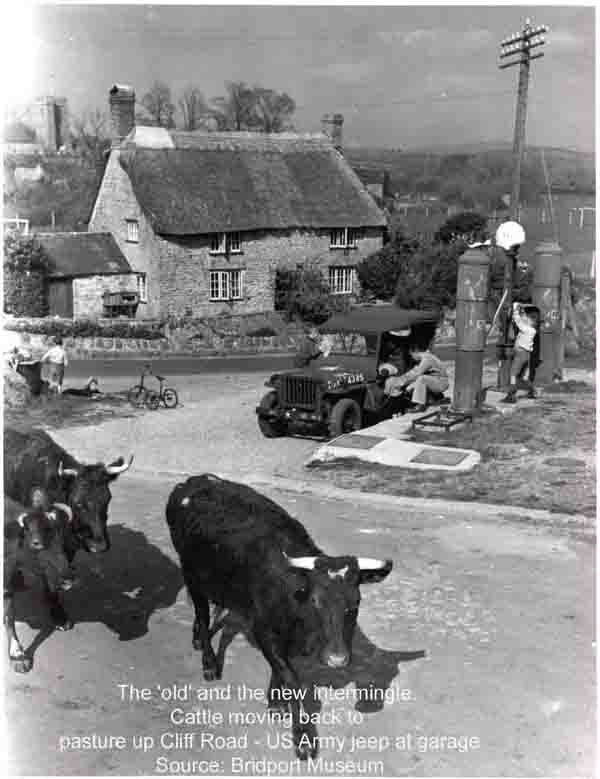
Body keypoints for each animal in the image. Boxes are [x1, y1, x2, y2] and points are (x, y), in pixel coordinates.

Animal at [165, 476, 394, 760]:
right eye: (316, 601)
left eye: (357, 602)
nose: (337, 659)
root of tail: (192, 481)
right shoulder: (264, 631)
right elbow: (291, 678)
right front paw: (302, 738)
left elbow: (279, 670)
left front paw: (275, 702)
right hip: (191, 575)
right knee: (203, 614)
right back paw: (208, 662)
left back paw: (197, 637)